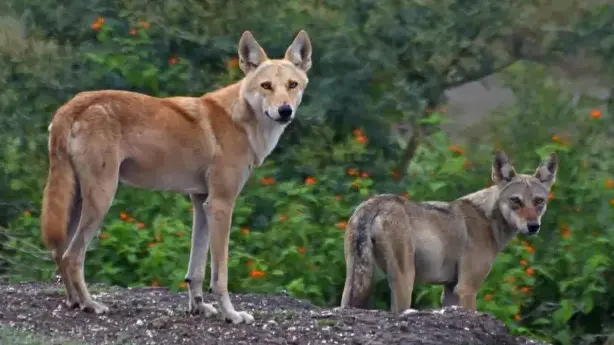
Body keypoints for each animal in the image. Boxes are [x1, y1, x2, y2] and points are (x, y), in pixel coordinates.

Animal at [41, 29, 316, 322]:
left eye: (292, 85)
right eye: (266, 86)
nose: (285, 111)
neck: (241, 120)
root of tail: (71, 105)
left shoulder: (202, 203)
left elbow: (195, 271)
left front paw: (198, 308)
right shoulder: (221, 205)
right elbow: (220, 275)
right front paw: (231, 314)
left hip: (77, 202)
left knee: (59, 252)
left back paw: (74, 302)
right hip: (102, 200)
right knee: (72, 256)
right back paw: (91, 304)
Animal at [340, 149, 560, 314]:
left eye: (539, 201)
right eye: (516, 201)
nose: (533, 226)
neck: (488, 220)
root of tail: (373, 204)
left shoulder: (450, 290)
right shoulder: (467, 289)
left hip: (354, 281)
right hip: (405, 281)